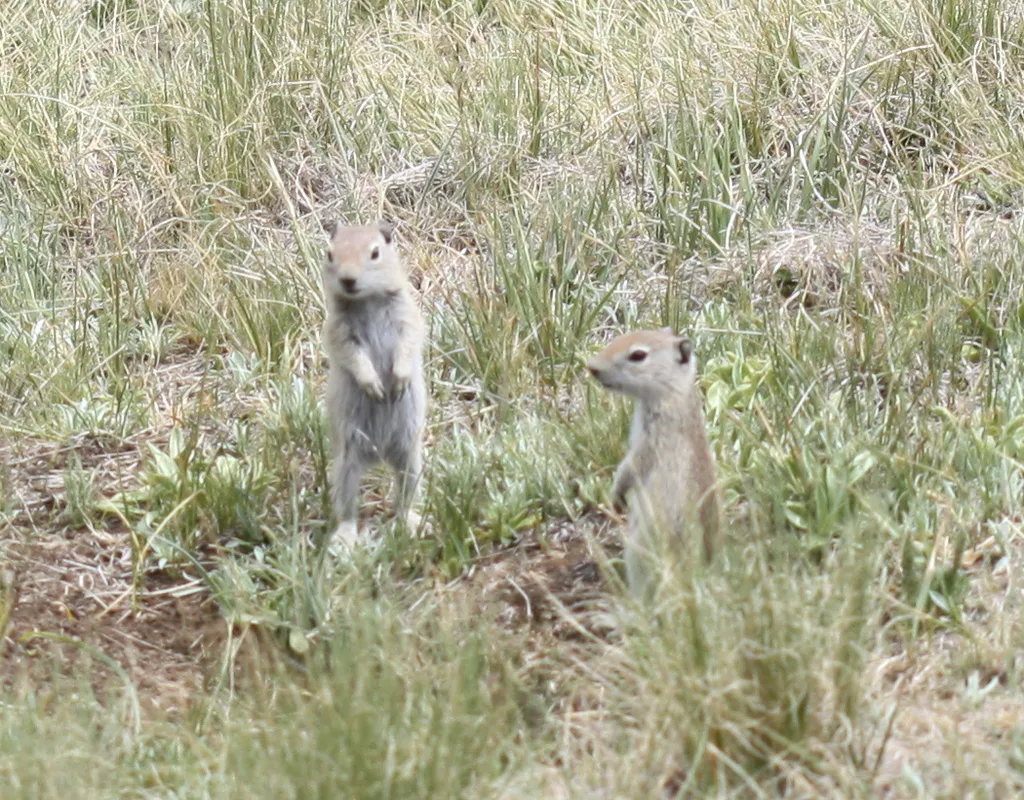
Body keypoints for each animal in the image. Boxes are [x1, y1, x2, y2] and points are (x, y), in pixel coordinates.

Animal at [321, 220, 427, 549]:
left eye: (375, 252)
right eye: (330, 254)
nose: (347, 279)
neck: (365, 300)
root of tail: (379, 456)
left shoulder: (408, 315)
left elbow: (408, 341)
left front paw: (399, 380)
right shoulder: (338, 331)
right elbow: (352, 356)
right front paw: (374, 385)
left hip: (410, 457)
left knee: (406, 495)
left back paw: (411, 523)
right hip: (345, 464)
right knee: (346, 506)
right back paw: (345, 537)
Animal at [587, 328, 722, 593]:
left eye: (638, 355)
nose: (591, 367)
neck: (673, 395)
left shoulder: (649, 444)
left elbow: (629, 468)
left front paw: (615, 499)